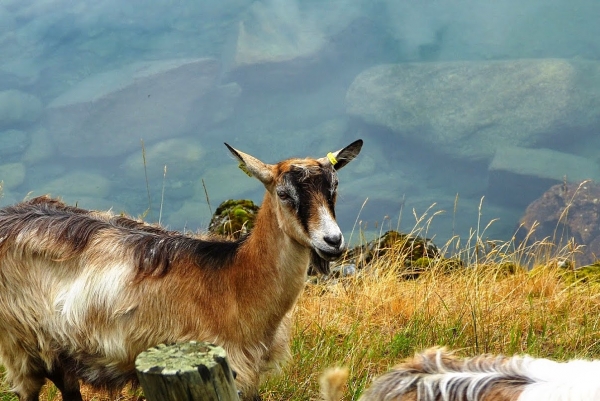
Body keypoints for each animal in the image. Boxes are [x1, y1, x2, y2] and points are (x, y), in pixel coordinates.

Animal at [0, 138, 364, 400]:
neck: (235, 282)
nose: (332, 241)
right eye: (285, 195)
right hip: (18, 344)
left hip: (58, 349)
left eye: (333, 189)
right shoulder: (229, 368)